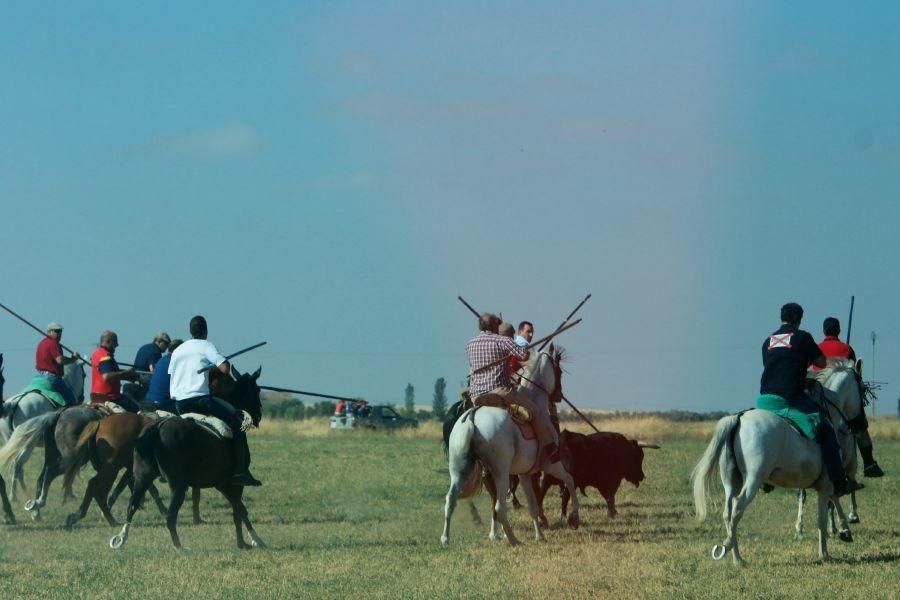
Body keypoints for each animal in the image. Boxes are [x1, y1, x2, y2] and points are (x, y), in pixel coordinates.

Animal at [0, 360, 85, 496]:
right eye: (84, 375)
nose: (82, 397)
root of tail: (14, 403)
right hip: (28, 442)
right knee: (18, 463)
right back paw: (14, 495)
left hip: (11, 440)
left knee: (16, 465)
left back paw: (22, 492)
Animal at [109, 364, 264, 552]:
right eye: (257, 390)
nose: (258, 416)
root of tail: (157, 428)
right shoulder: (233, 484)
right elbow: (239, 511)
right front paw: (250, 541)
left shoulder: (222, 484)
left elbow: (239, 510)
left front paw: (249, 541)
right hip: (178, 485)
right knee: (170, 516)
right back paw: (179, 547)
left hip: (142, 477)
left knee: (132, 506)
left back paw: (121, 538)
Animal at [440, 344, 580, 548]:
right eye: (559, 371)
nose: (558, 395)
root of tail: (472, 417)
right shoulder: (551, 464)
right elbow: (569, 479)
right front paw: (574, 518)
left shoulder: (524, 473)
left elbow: (532, 505)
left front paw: (540, 535)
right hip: (501, 472)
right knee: (499, 506)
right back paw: (513, 539)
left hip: (460, 469)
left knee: (451, 499)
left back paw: (446, 539)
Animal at [692, 384, 860, 564]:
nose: (857, 426)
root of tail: (739, 418)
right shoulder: (826, 484)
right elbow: (822, 518)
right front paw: (826, 553)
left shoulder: (826, 484)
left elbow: (832, 502)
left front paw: (844, 531)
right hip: (753, 480)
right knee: (737, 508)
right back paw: (729, 546)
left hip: (731, 482)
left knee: (728, 513)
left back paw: (737, 558)